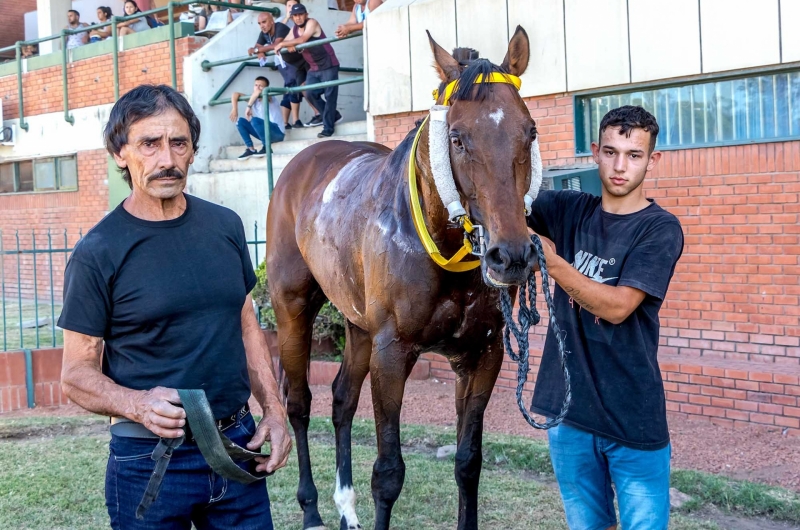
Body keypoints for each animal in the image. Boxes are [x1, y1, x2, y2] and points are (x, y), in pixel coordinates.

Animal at [268, 27, 536, 528]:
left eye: (529, 132)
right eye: (457, 138)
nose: (511, 255)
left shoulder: (482, 355)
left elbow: (468, 462)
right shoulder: (392, 353)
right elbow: (389, 472)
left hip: (358, 326)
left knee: (341, 399)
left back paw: (345, 507)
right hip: (292, 307)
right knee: (298, 403)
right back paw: (311, 508)